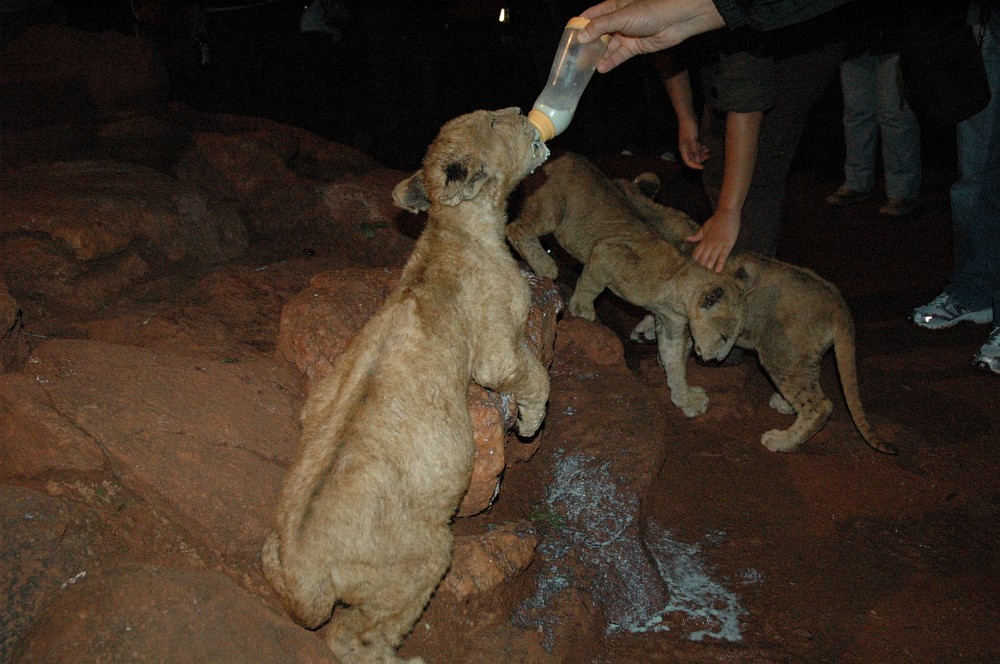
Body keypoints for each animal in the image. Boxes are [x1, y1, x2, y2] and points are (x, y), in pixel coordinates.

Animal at [261, 108, 552, 664]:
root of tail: (305, 570)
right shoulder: (497, 354)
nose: (522, 113)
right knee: (351, 637)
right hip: (426, 557)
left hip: (277, 543)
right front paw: (531, 423)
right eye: (494, 119)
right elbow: (535, 375)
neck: (450, 228)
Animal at [507, 151, 754, 418]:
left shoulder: (671, 328)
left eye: (734, 337)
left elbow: (675, 365)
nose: (718, 359)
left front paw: (686, 399)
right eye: (723, 336)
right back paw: (544, 265)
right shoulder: (608, 251)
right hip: (551, 211)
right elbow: (592, 284)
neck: (677, 289)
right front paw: (582, 310)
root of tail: (563, 155)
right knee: (515, 228)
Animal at [619, 172, 897, 454]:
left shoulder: (689, 322)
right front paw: (643, 331)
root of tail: (838, 303)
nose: (716, 358)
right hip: (802, 357)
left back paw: (782, 440)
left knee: (820, 406)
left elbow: (674, 358)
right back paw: (785, 405)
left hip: (781, 355)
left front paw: (684, 398)